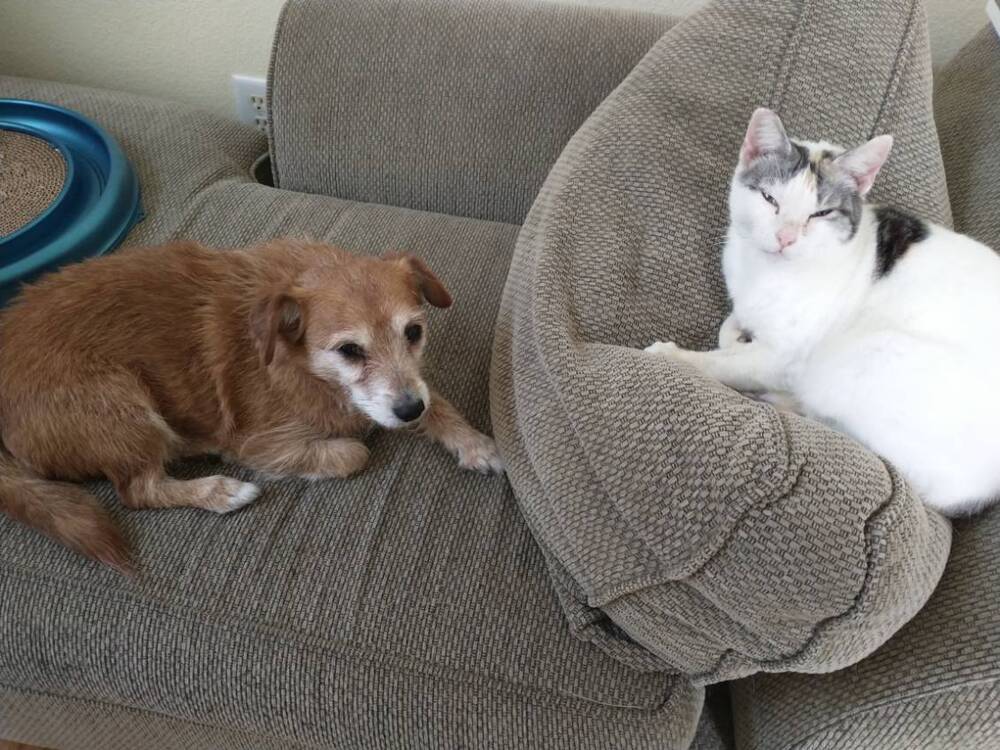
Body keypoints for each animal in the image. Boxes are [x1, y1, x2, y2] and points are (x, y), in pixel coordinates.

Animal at [0, 241, 504, 576]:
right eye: (349, 351)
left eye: (414, 332)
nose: (408, 411)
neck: (302, 365)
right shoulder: (261, 443)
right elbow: (354, 452)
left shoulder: (409, 390)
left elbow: (435, 401)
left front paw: (474, 442)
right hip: (123, 405)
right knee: (138, 490)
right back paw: (219, 489)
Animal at [648, 107, 1000, 516]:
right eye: (769, 198)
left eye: (820, 213)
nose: (785, 238)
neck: (764, 273)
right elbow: (731, 327)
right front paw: (738, 330)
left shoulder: (783, 357)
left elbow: (724, 362)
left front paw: (673, 356)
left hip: (852, 359)